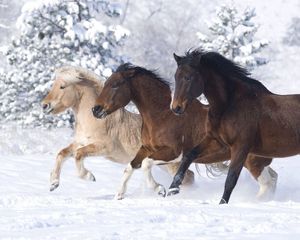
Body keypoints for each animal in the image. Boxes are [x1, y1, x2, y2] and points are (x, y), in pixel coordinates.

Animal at [41, 65, 195, 191]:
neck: (95, 120)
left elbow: (78, 154)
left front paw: (89, 176)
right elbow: (62, 154)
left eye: (62, 86)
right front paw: (53, 183)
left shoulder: (104, 147)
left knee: (188, 177)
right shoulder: (80, 142)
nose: (44, 105)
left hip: (171, 163)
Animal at [91, 62, 276, 200]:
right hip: (255, 160)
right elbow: (130, 166)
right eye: (106, 83)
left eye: (115, 85)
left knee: (267, 183)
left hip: (251, 160)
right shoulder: (146, 148)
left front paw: (160, 189)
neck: (162, 115)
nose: (95, 110)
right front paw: (119, 195)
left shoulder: (173, 153)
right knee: (272, 179)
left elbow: (145, 164)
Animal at [169, 49, 296, 203]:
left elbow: (231, 179)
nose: (176, 108)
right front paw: (172, 190)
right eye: (176, 77)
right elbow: (188, 156)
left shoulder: (240, 147)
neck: (229, 105)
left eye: (188, 77)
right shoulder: (216, 141)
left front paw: (222, 204)